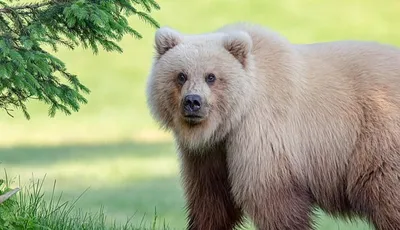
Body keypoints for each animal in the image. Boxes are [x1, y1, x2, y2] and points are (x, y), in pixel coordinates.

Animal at [145, 22, 400, 230]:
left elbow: (271, 198)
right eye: (181, 75)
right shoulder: (209, 154)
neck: (231, 120)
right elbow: (211, 199)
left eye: (211, 76)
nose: (193, 102)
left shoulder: (263, 132)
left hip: (378, 137)